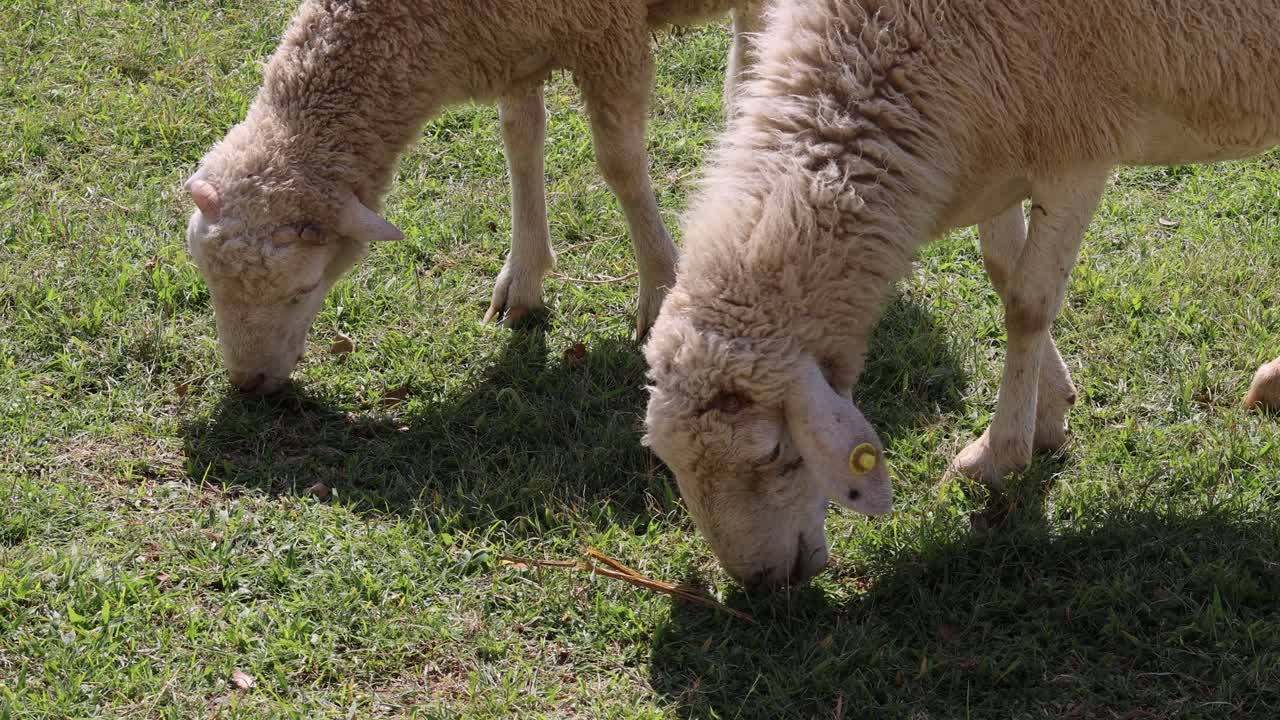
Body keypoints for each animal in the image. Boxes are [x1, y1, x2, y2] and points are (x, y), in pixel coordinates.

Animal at [184, 0, 765, 393]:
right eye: (208, 285)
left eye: (303, 289)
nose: (248, 383)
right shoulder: (513, 43)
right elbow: (521, 138)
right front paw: (523, 281)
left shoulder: (607, 33)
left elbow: (619, 163)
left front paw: (662, 288)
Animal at [641, 0, 1280, 589]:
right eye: (668, 462)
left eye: (772, 453)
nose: (760, 583)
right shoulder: (1001, 144)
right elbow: (1002, 272)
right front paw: (1049, 413)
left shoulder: (1076, 147)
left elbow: (1028, 302)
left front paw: (999, 453)